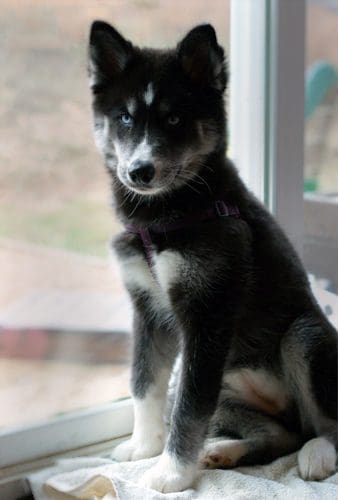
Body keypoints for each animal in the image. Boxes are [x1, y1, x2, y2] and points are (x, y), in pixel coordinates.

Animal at [88, 22, 338, 492]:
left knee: (324, 425)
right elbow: (145, 383)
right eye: (125, 117)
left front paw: (171, 472)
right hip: (231, 387)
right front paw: (144, 446)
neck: (163, 215)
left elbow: (189, 408)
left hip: (304, 336)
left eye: (174, 118)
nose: (139, 172)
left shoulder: (209, 311)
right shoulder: (148, 310)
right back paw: (224, 451)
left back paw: (318, 454)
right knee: (282, 434)